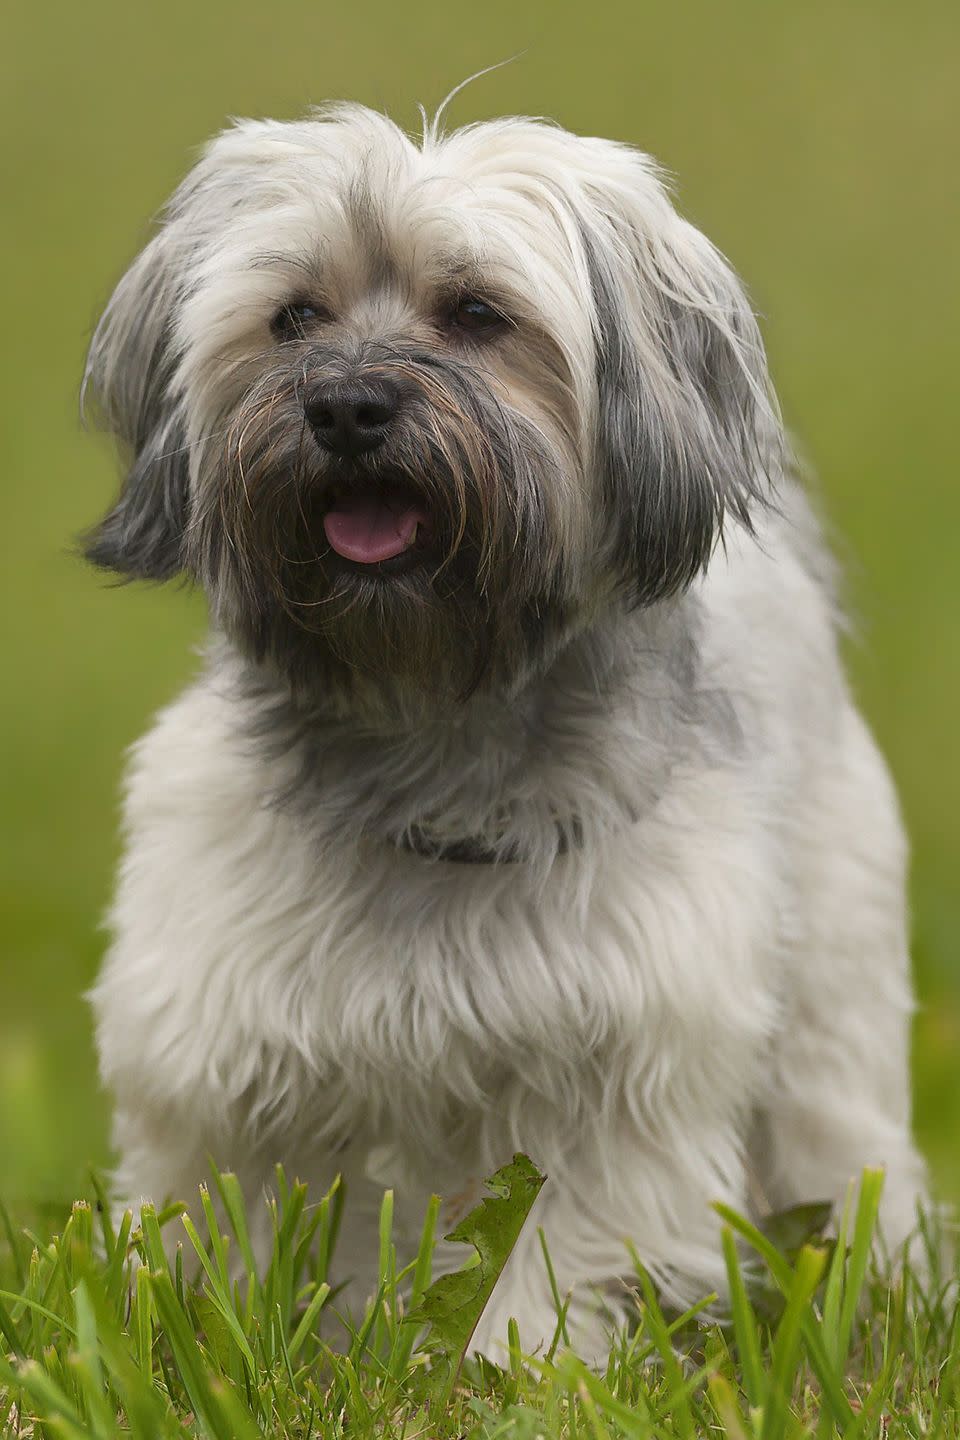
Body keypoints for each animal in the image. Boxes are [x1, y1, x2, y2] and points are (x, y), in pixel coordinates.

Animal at [84, 106, 932, 1353]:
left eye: (477, 314)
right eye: (295, 317)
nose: (346, 407)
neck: (430, 716)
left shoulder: (626, 1061)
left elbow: (562, 1258)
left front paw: (515, 1363)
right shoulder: (216, 1043)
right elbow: (227, 1228)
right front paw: (217, 1335)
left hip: (835, 973)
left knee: (844, 1133)